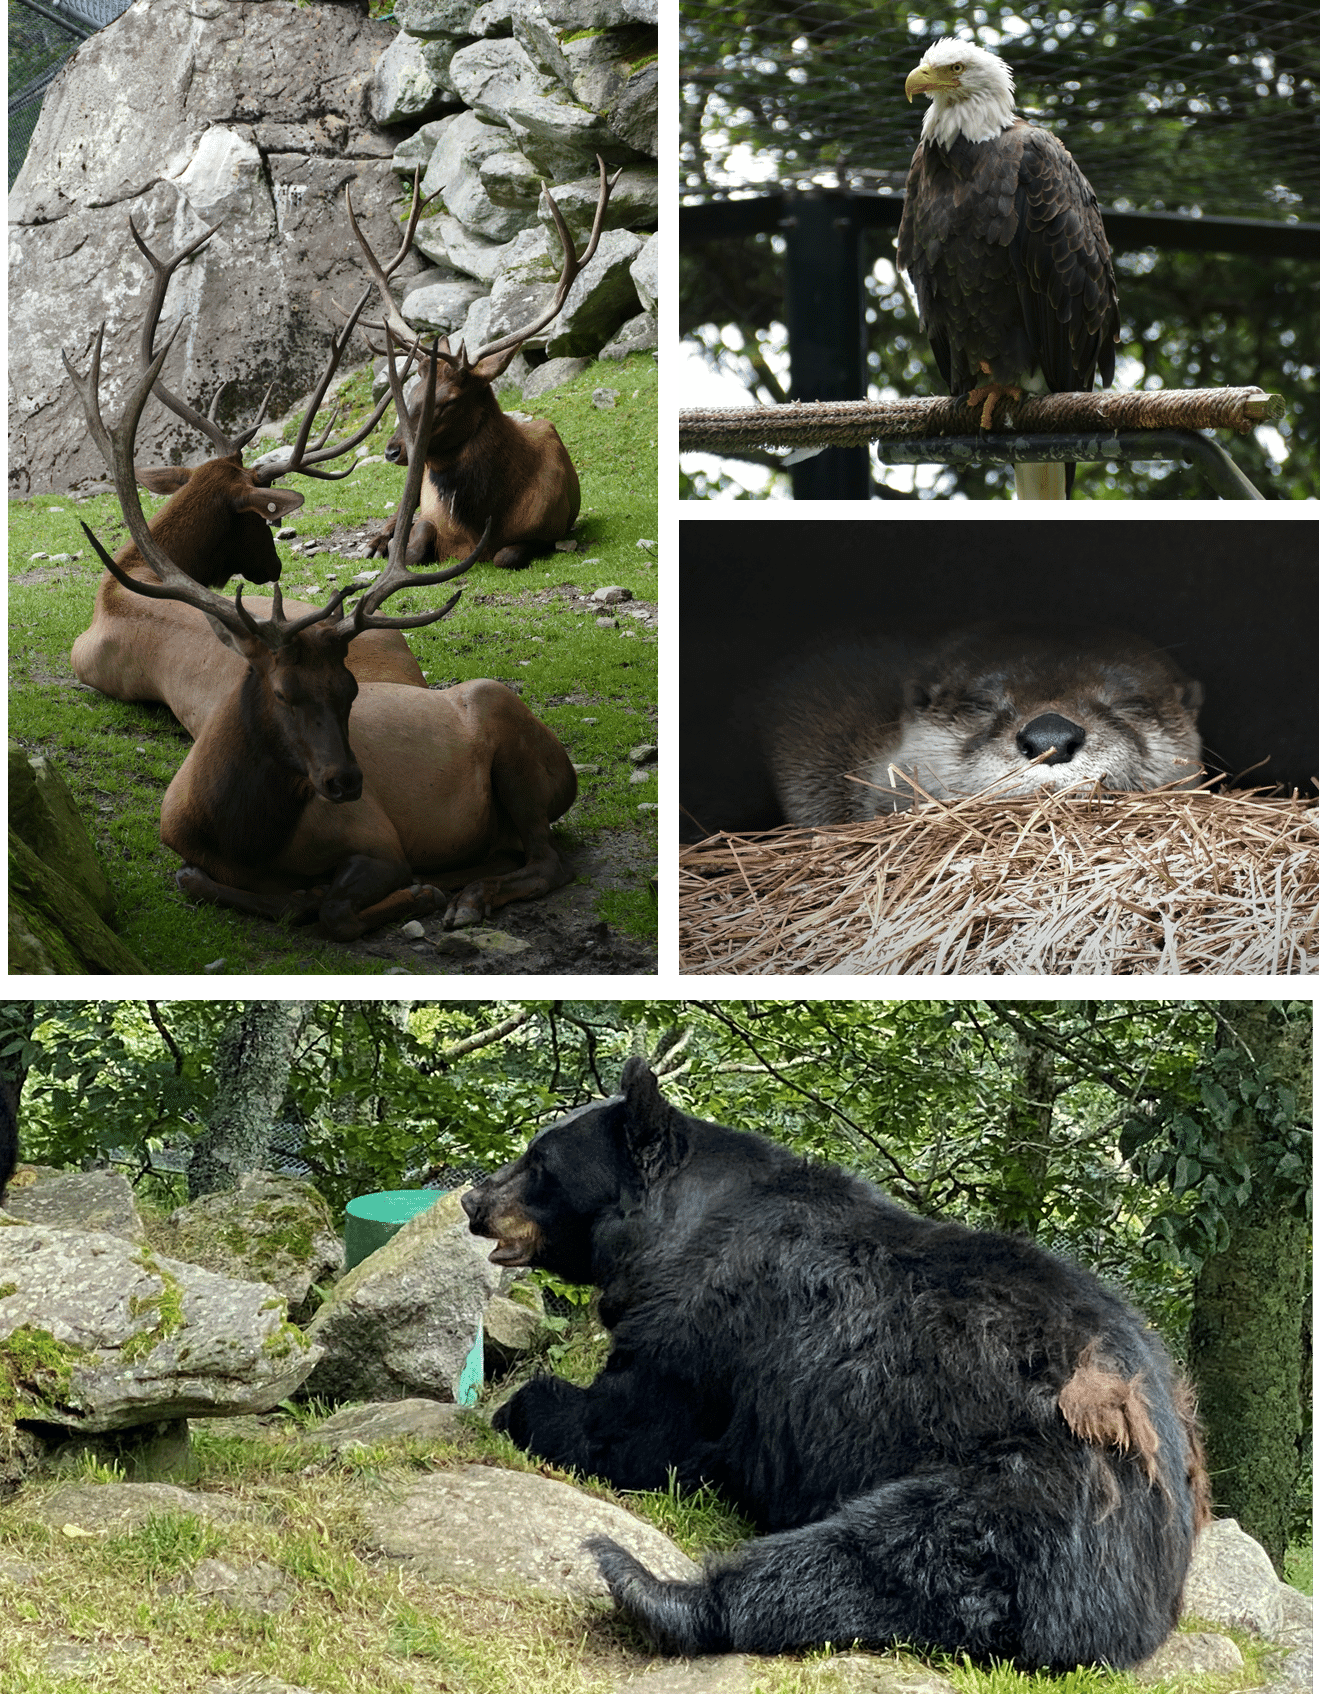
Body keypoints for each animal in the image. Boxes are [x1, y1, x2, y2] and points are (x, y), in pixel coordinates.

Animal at [65, 266, 579, 943]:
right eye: (283, 694)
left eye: (351, 694)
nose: (346, 780)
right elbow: (211, 885)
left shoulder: (378, 841)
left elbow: (332, 907)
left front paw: (410, 894)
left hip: (518, 766)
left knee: (549, 859)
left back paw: (468, 896)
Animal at [351, 157, 622, 571]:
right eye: (411, 392)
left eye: (448, 400)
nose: (393, 450)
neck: (478, 527)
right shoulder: (428, 515)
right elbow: (416, 541)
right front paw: (393, 546)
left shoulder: (550, 529)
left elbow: (506, 555)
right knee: (397, 515)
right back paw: (374, 543)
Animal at [462, 1057, 1210, 1669]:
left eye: (538, 1162)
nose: (472, 1199)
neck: (669, 1235)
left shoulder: (708, 1333)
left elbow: (636, 1422)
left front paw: (527, 1404)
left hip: (1033, 1482)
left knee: (900, 1553)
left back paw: (646, 1586)